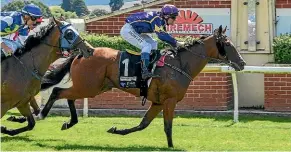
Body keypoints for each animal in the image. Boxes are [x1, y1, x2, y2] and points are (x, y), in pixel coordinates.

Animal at [37, 25, 246, 147]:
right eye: (228, 44)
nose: (242, 63)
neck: (180, 64)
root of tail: (82, 53)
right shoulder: (169, 100)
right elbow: (167, 126)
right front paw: (171, 147)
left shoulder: (158, 102)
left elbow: (143, 124)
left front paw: (116, 130)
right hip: (89, 86)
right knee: (57, 91)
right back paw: (42, 114)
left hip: (92, 87)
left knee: (68, 96)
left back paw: (69, 122)